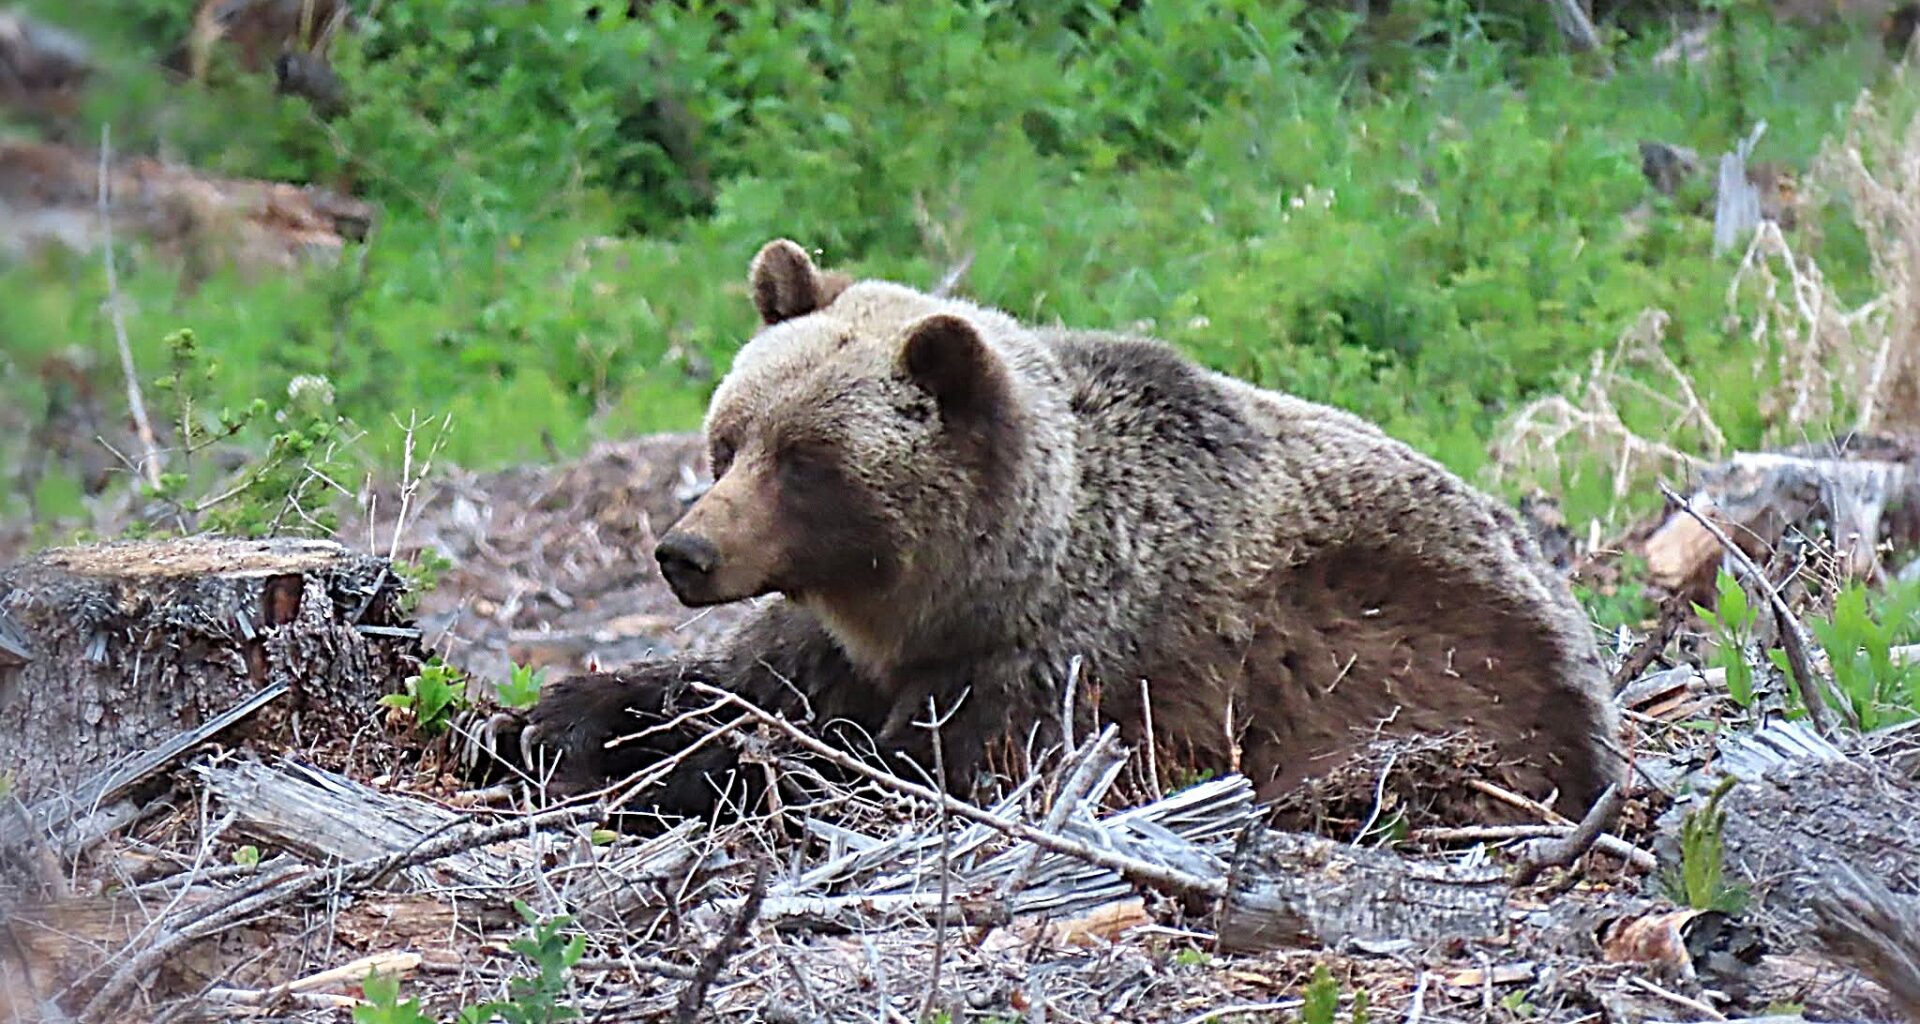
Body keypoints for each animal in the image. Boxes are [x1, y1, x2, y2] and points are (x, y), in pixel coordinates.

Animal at [490, 239, 1627, 826]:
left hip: (1445, 678)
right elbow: (733, 683)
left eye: (808, 463)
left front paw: (690, 772)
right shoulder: (834, 643)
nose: (686, 553)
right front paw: (545, 723)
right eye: (730, 439)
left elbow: (893, 767)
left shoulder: (1070, 674)